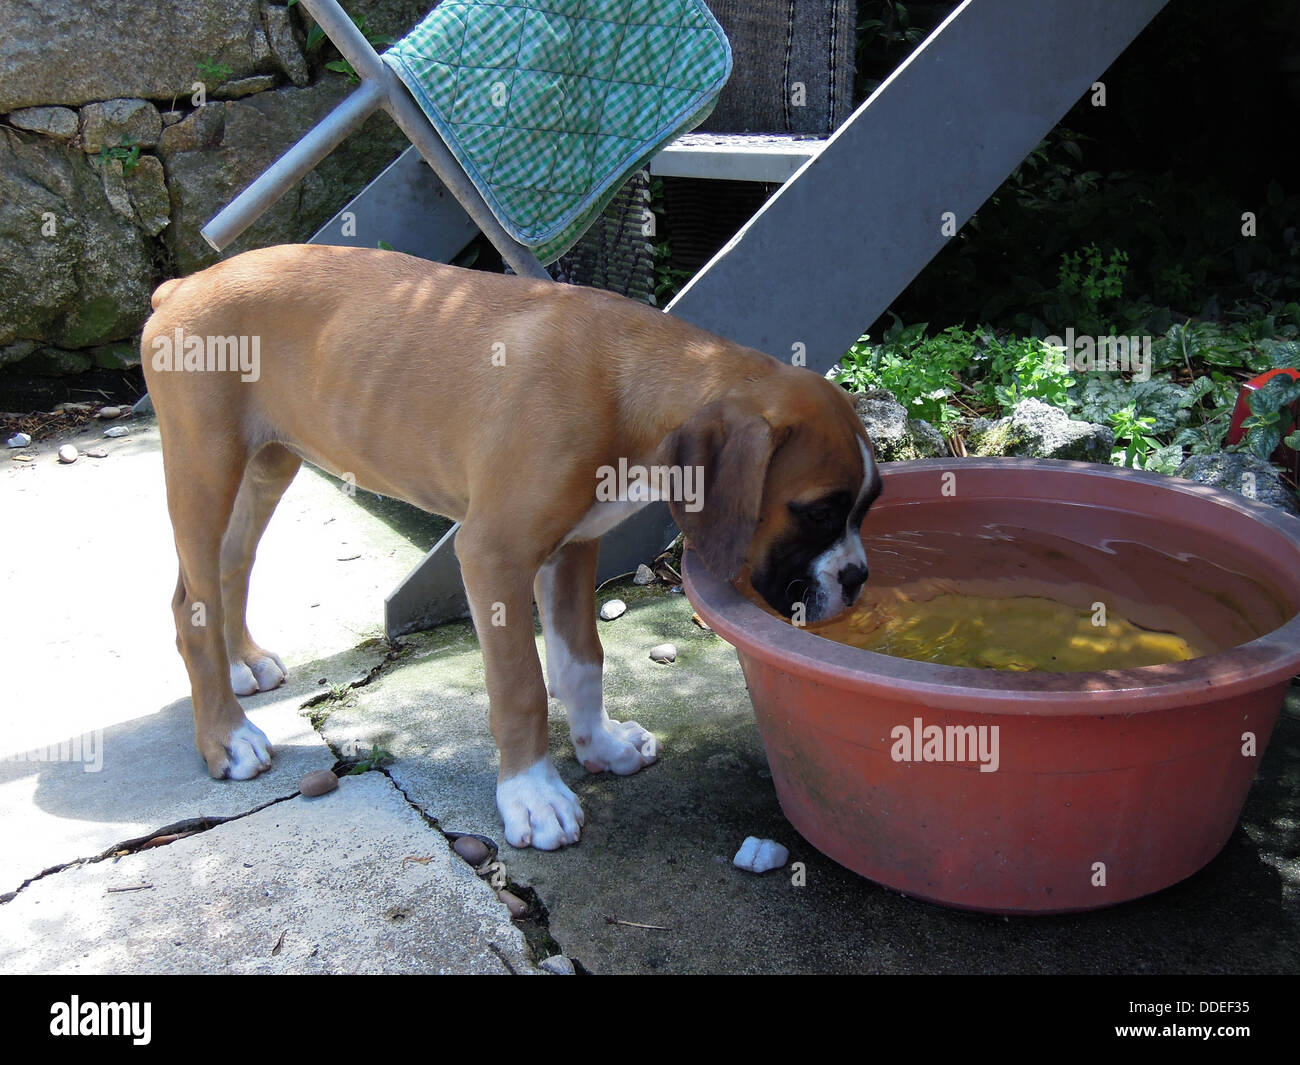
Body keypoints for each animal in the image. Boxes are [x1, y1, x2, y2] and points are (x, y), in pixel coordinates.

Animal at [142, 245, 883, 853]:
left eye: (867, 507)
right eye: (819, 511)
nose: (858, 579)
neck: (626, 380)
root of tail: (180, 286)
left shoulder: (573, 547)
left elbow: (582, 660)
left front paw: (600, 745)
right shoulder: (493, 555)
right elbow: (522, 684)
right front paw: (533, 795)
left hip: (268, 463)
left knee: (229, 567)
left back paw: (244, 664)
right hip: (204, 467)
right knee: (186, 605)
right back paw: (227, 737)